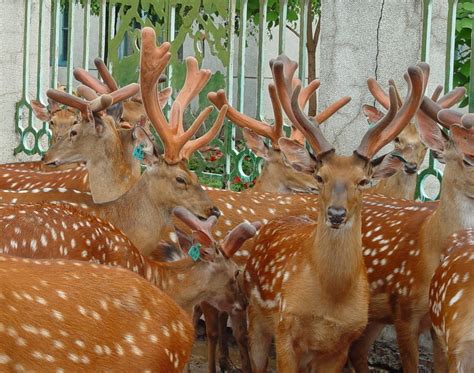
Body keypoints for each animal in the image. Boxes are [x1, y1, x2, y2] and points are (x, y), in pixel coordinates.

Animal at [243, 61, 424, 372]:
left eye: (363, 181)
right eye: (320, 176)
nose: (336, 213)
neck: (330, 299)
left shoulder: (341, 344)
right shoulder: (285, 328)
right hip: (256, 319)